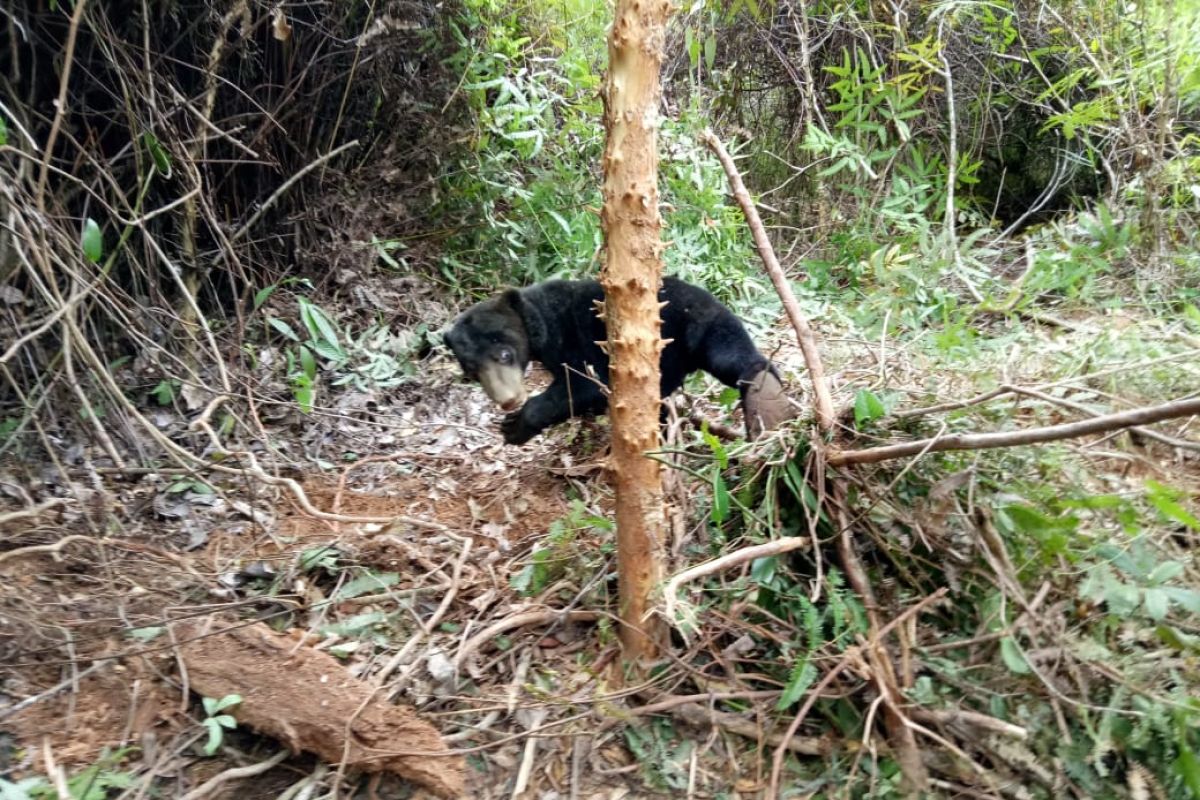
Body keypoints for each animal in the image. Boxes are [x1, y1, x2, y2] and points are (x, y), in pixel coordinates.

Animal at [441, 278, 787, 443]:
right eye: (471, 371)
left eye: (504, 353)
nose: (508, 400)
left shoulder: (576, 336)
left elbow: (587, 385)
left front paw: (515, 427)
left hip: (695, 329)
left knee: (734, 356)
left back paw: (766, 399)